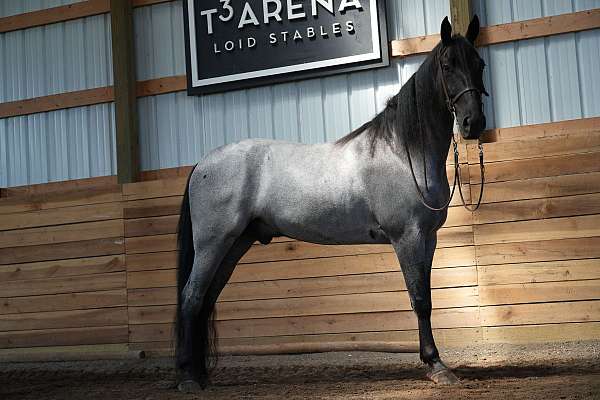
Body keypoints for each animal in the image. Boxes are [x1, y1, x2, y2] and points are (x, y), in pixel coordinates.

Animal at [173, 16, 488, 390]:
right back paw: (187, 378)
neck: (402, 151)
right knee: (191, 298)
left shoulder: (428, 238)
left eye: (480, 64)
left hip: (234, 244)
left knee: (205, 300)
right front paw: (436, 365)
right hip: (213, 243)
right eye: (448, 64)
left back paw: (199, 375)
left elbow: (425, 296)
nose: (473, 124)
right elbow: (420, 300)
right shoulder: (407, 237)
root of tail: (202, 164)